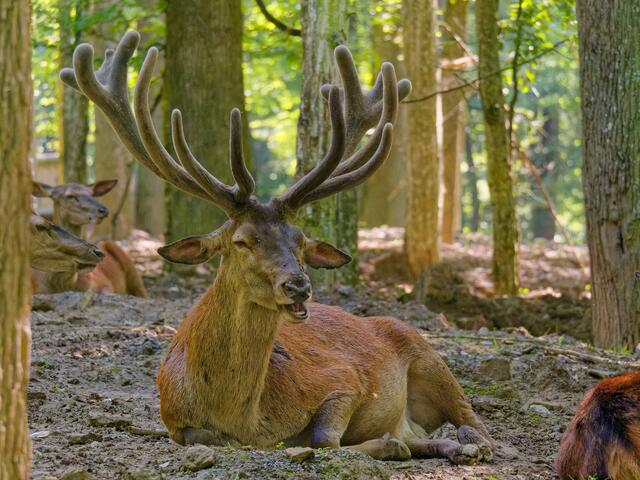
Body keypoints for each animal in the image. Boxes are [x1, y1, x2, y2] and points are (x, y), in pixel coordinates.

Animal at [60, 30, 495, 464]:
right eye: (241, 241)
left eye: (300, 241)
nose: (298, 286)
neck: (244, 416)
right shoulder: (174, 420)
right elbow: (207, 437)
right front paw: (387, 443)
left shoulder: (344, 380)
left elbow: (324, 438)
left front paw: (377, 444)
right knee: (422, 434)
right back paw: (436, 445)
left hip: (428, 353)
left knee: (477, 424)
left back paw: (465, 444)